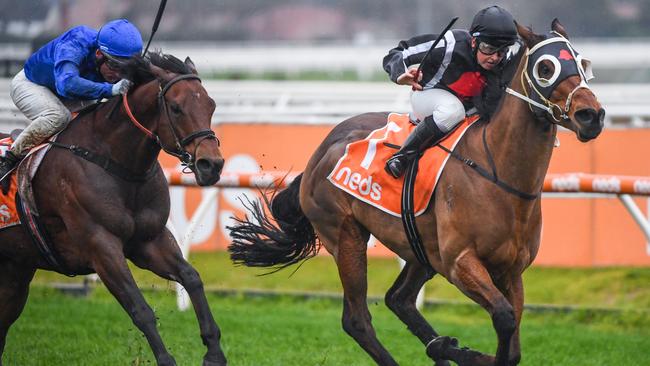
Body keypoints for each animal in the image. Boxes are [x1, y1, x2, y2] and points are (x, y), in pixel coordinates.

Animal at [0, 53, 227, 364]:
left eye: (211, 105)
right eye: (176, 108)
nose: (211, 165)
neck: (113, 161)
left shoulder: (149, 241)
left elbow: (192, 278)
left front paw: (214, 352)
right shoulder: (100, 246)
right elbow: (140, 309)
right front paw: (167, 359)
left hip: (16, 268)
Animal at [227, 20, 604, 366]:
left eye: (583, 63)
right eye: (545, 68)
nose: (591, 115)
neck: (497, 174)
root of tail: (322, 149)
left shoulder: (511, 271)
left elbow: (511, 343)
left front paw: (457, 349)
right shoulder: (460, 263)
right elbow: (504, 318)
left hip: (420, 247)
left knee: (399, 299)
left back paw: (442, 346)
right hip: (345, 235)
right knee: (356, 319)